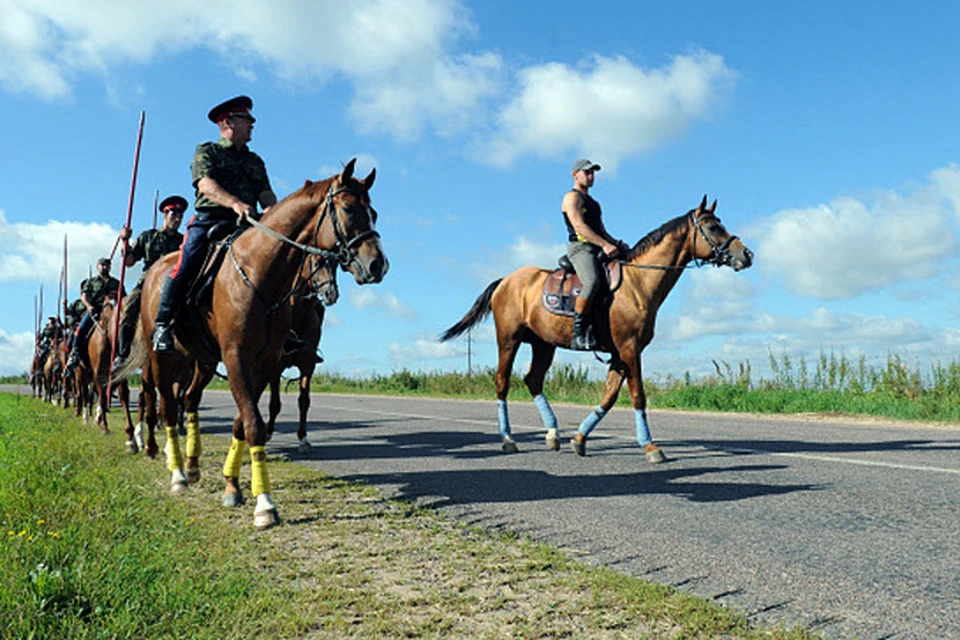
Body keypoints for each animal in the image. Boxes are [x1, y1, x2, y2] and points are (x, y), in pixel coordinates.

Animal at [109, 158, 386, 528]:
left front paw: (233, 485)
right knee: (165, 407)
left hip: (203, 360)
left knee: (190, 401)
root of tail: (155, 271)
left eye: (374, 212)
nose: (378, 264)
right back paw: (176, 471)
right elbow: (253, 423)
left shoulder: (266, 362)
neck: (259, 272)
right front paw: (264, 504)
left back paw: (193, 466)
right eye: (349, 208)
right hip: (160, 361)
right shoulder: (237, 356)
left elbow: (244, 420)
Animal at [438, 195, 752, 460]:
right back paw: (508, 440)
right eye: (712, 226)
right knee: (502, 383)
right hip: (508, 339)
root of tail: (506, 280)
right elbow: (638, 395)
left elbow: (610, 396)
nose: (747, 254)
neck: (637, 283)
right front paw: (651, 447)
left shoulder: (620, 353)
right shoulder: (629, 349)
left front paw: (578, 439)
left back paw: (553, 434)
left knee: (533, 380)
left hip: (543, 344)